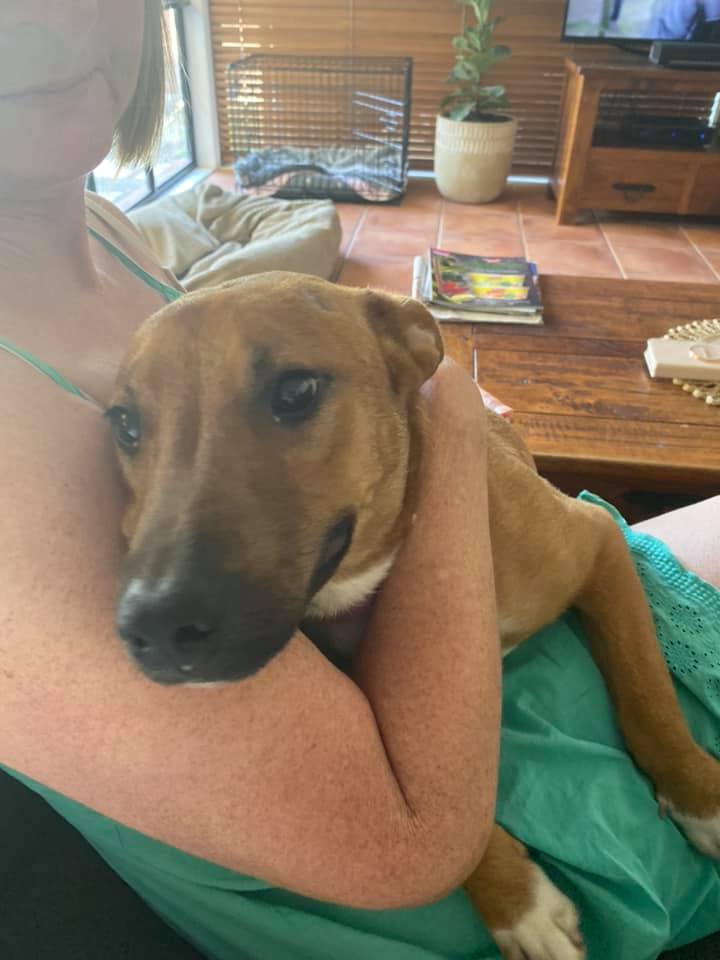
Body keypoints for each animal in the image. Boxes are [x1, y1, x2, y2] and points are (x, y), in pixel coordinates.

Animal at [107, 272, 720, 960]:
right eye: (125, 424)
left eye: (296, 391)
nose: (154, 627)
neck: (371, 569)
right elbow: (445, 830)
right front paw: (518, 901)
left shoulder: (599, 542)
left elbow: (647, 696)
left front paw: (701, 796)